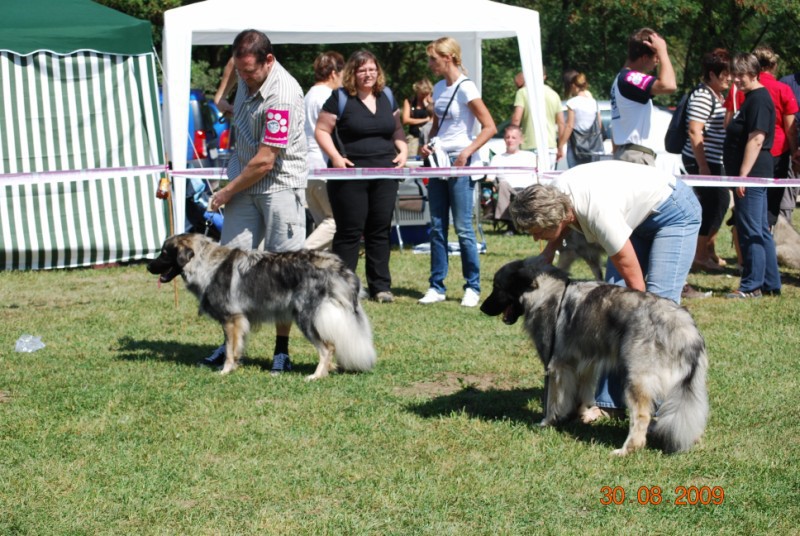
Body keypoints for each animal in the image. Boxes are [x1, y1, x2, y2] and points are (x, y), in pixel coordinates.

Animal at [148, 234, 378, 382]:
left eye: (164, 253)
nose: (148, 266)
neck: (205, 264)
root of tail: (338, 267)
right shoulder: (237, 322)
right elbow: (233, 347)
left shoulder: (232, 319)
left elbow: (230, 349)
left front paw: (225, 370)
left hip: (306, 318)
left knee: (327, 347)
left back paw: (316, 375)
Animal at [478, 258, 708, 454]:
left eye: (497, 287)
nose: (481, 308)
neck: (545, 292)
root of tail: (686, 330)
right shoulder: (585, 364)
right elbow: (580, 393)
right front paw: (577, 415)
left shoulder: (556, 366)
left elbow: (553, 399)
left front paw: (548, 422)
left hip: (637, 379)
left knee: (641, 416)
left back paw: (627, 449)